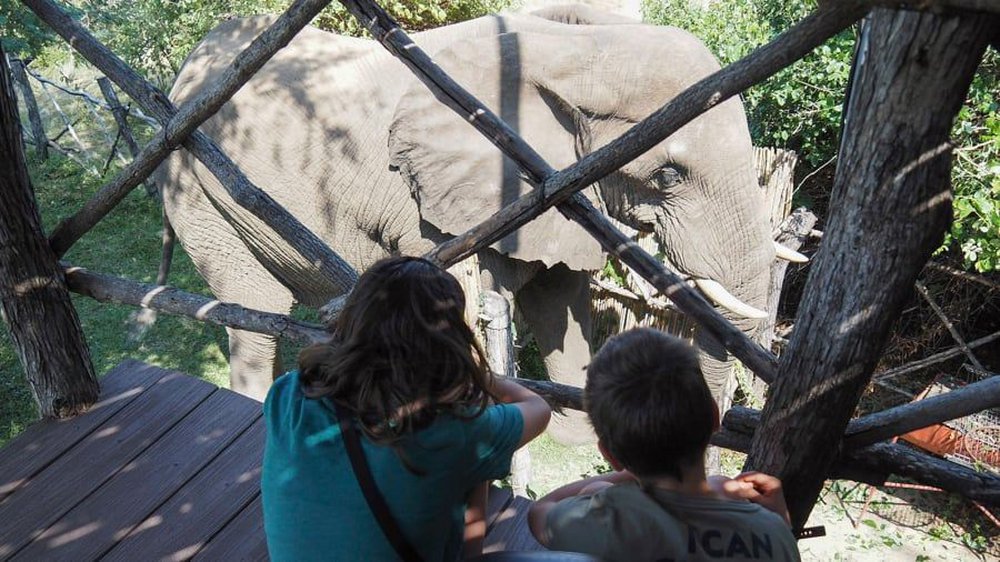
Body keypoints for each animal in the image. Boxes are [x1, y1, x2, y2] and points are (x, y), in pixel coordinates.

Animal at [156, 4, 780, 442]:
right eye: (670, 175)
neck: (577, 48)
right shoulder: (431, 205)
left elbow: (560, 298)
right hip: (195, 191)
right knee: (253, 314)